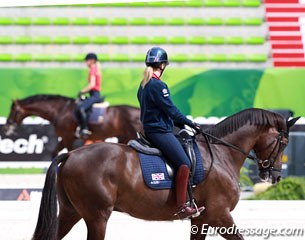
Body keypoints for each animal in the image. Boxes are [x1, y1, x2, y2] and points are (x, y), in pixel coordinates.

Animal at [2, 94, 141, 157]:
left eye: (14, 111)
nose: (6, 127)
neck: (59, 110)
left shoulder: (68, 138)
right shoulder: (64, 138)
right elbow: (54, 153)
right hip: (122, 137)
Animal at [32, 109, 296, 240]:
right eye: (283, 142)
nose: (274, 177)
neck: (221, 154)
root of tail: (71, 155)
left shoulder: (201, 219)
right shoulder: (220, 215)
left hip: (71, 213)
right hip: (97, 217)